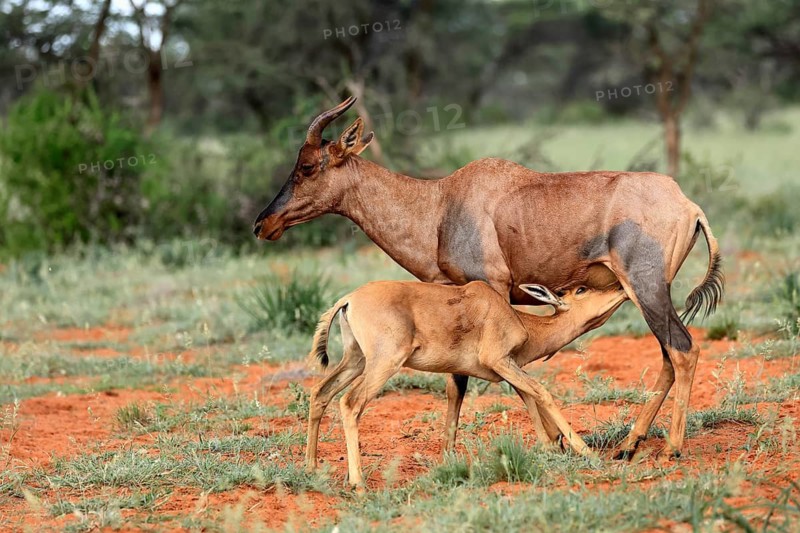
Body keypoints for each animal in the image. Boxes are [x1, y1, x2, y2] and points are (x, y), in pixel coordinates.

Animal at [254, 96, 724, 459]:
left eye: (308, 166)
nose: (263, 224)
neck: (442, 203)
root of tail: (689, 205)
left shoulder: (492, 290)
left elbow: (507, 377)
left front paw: (555, 443)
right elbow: (456, 382)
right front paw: (449, 452)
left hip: (645, 288)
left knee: (682, 350)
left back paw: (671, 447)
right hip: (649, 293)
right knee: (668, 356)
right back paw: (629, 444)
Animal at [304, 280, 628, 490]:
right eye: (581, 289)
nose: (621, 289)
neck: (513, 316)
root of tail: (348, 299)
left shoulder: (506, 367)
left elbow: (528, 397)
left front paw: (552, 447)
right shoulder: (499, 360)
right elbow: (541, 392)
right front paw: (587, 453)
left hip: (356, 360)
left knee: (320, 393)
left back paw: (312, 467)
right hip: (384, 363)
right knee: (350, 402)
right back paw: (357, 483)